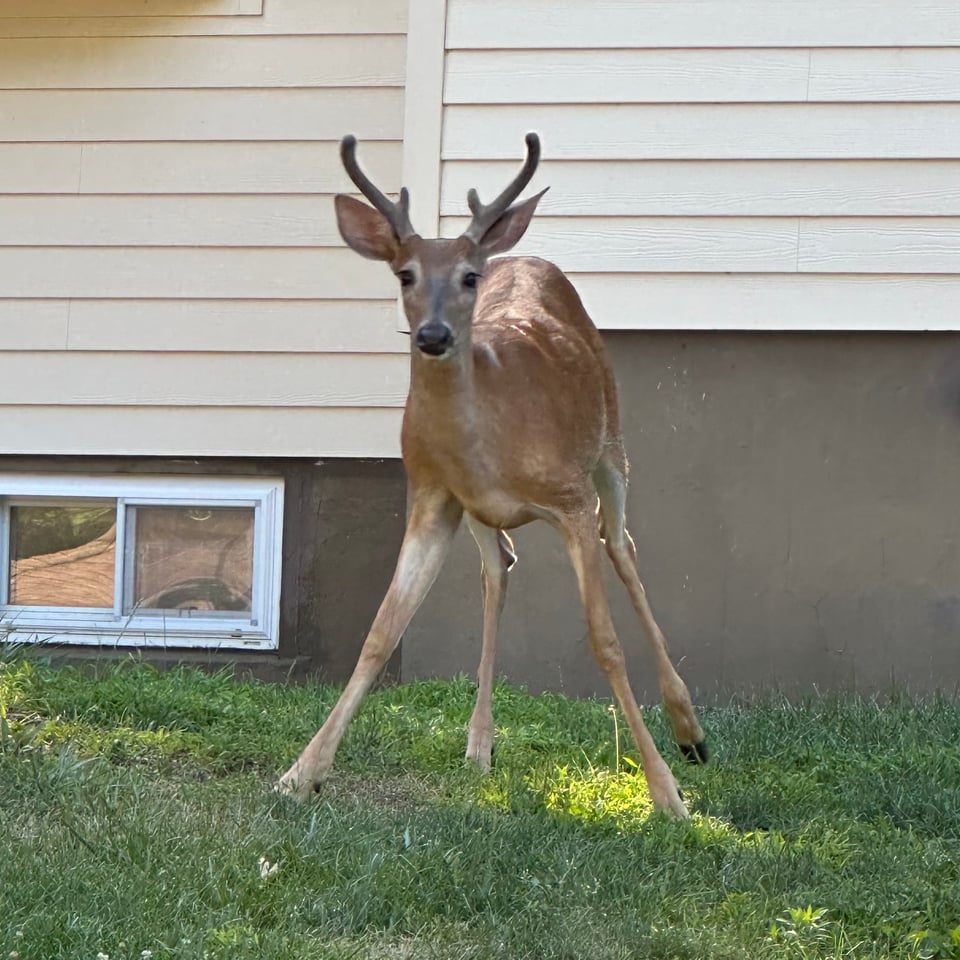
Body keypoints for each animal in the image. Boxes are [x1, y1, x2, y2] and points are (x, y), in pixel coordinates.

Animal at [278, 132, 706, 818]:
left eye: (468, 277)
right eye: (404, 274)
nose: (432, 334)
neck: (490, 437)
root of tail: (527, 254)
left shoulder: (569, 496)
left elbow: (604, 640)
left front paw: (666, 795)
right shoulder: (431, 495)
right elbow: (381, 631)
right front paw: (302, 772)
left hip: (610, 444)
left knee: (623, 547)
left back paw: (690, 730)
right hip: (477, 512)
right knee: (499, 568)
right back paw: (479, 745)